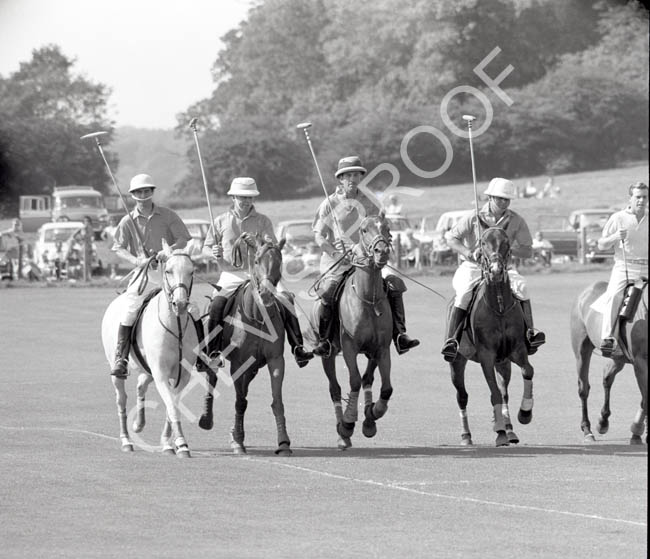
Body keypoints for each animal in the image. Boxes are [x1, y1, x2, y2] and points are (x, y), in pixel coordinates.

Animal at [99, 243, 197, 458]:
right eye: (168, 271)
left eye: (191, 271)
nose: (181, 304)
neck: (176, 327)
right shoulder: (161, 373)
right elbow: (172, 406)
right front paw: (181, 444)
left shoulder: (183, 375)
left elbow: (172, 405)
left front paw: (168, 443)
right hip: (117, 368)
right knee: (121, 400)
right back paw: (126, 440)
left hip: (148, 369)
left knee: (141, 385)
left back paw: (138, 424)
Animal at [195, 236, 292, 456]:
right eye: (256, 260)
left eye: (280, 261)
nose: (266, 294)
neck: (257, 316)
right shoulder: (238, 364)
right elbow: (240, 402)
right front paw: (239, 442)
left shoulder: (275, 360)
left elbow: (277, 402)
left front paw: (283, 443)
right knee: (212, 378)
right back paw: (206, 418)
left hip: (254, 366)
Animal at [308, 215, 392, 450]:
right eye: (363, 230)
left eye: (387, 227)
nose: (382, 252)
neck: (368, 299)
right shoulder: (349, 347)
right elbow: (353, 380)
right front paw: (347, 423)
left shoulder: (381, 349)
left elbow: (384, 387)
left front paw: (372, 415)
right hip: (327, 353)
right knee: (335, 388)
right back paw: (342, 435)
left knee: (367, 379)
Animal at [448, 226, 536, 446]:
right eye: (483, 243)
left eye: (506, 242)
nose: (496, 271)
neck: (499, 307)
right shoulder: (486, 355)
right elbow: (493, 393)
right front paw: (499, 432)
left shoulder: (516, 350)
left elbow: (527, 371)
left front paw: (525, 413)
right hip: (457, 362)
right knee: (462, 396)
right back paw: (467, 435)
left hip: (503, 362)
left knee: (504, 393)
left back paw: (510, 429)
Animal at [568, 282, 644, 444]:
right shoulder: (641, 362)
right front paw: (636, 432)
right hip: (582, 350)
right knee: (584, 388)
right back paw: (587, 430)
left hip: (618, 357)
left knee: (607, 377)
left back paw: (603, 421)